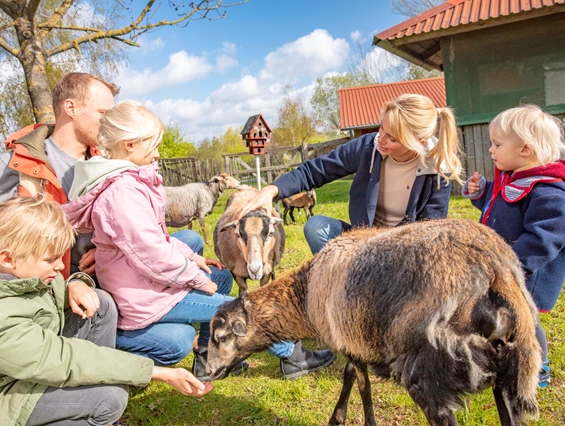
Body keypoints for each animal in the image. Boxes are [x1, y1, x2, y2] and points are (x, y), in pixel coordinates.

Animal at [205, 220, 540, 426]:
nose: (208, 372)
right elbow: (350, 376)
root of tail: (497, 268)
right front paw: (338, 417)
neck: (304, 295)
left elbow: (362, 386)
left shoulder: (350, 341)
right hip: (506, 371)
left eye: (220, 337)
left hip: (432, 373)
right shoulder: (353, 339)